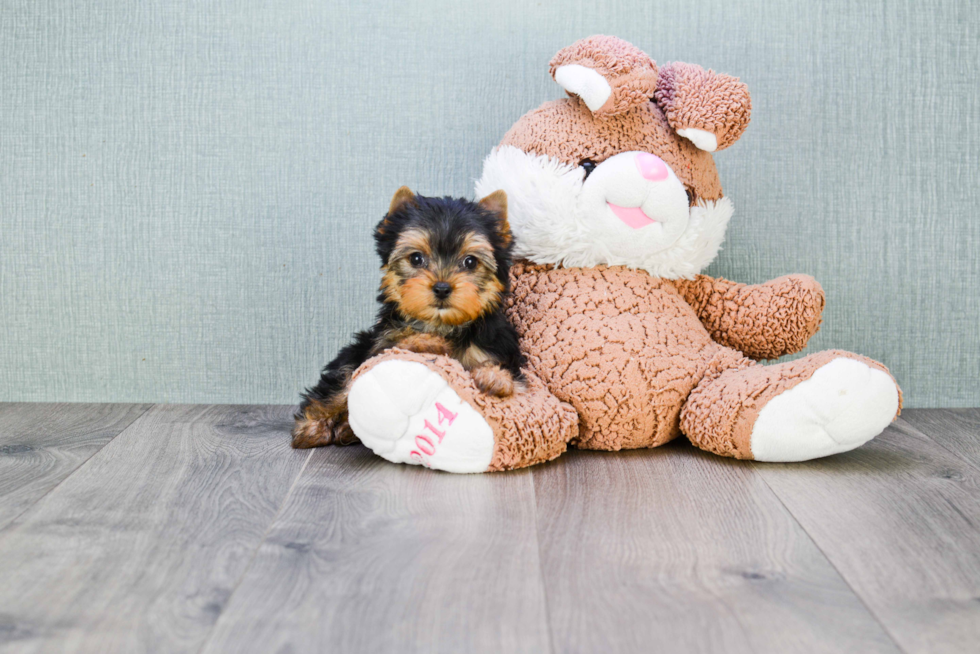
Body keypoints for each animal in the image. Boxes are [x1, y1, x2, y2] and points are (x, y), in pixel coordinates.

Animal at [290, 187, 524, 448]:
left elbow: (509, 377)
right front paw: (426, 342)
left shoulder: (498, 348)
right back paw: (312, 428)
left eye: (470, 261)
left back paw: (344, 429)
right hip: (355, 354)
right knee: (339, 384)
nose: (442, 287)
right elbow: (398, 343)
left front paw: (495, 377)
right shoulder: (380, 343)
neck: (442, 325)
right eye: (416, 258)